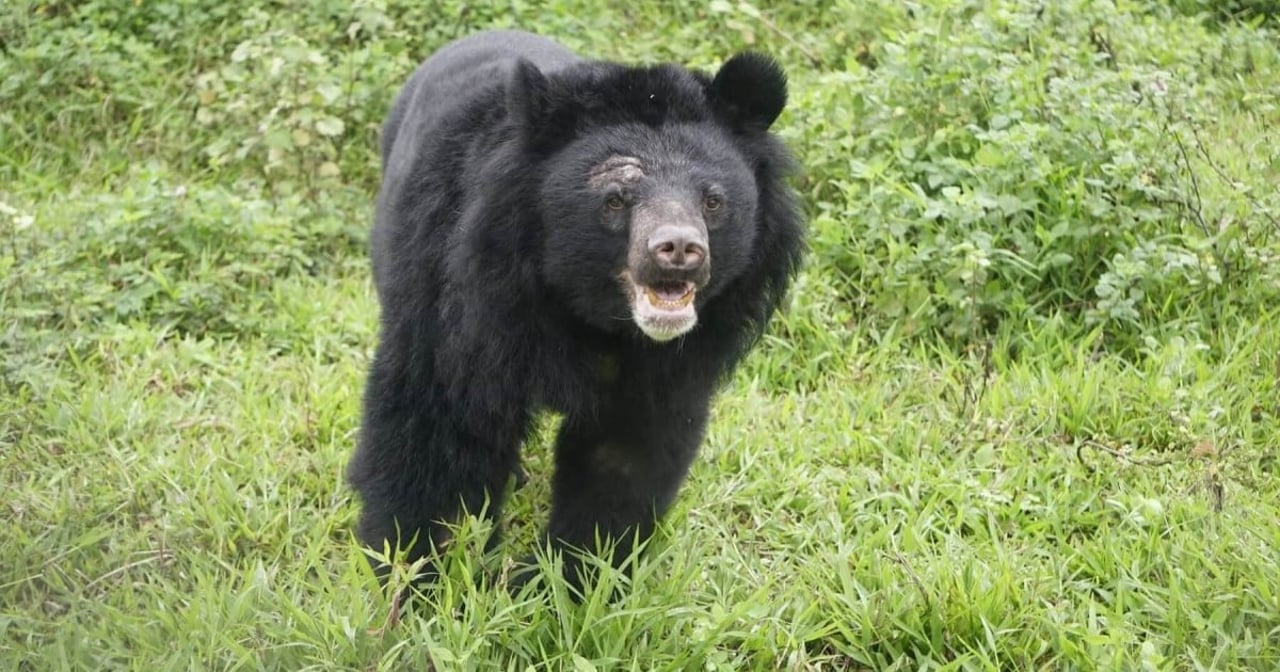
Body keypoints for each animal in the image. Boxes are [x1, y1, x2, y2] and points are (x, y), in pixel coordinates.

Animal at [345, 30, 803, 591]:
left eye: (712, 201)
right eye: (615, 200)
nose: (678, 250)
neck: (597, 317)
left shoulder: (668, 362)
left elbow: (624, 455)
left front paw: (569, 580)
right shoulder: (457, 293)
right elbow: (433, 423)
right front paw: (415, 578)